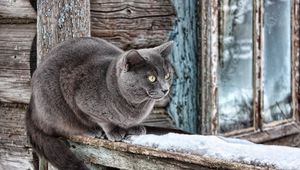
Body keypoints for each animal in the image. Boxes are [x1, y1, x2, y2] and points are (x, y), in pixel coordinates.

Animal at [27, 37, 175, 170]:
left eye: (167, 75)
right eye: (152, 78)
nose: (165, 89)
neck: (135, 106)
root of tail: (32, 105)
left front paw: (135, 127)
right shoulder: (83, 104)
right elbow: (104, 120)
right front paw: (114, 131)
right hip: (57, 108)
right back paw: (92, 130)